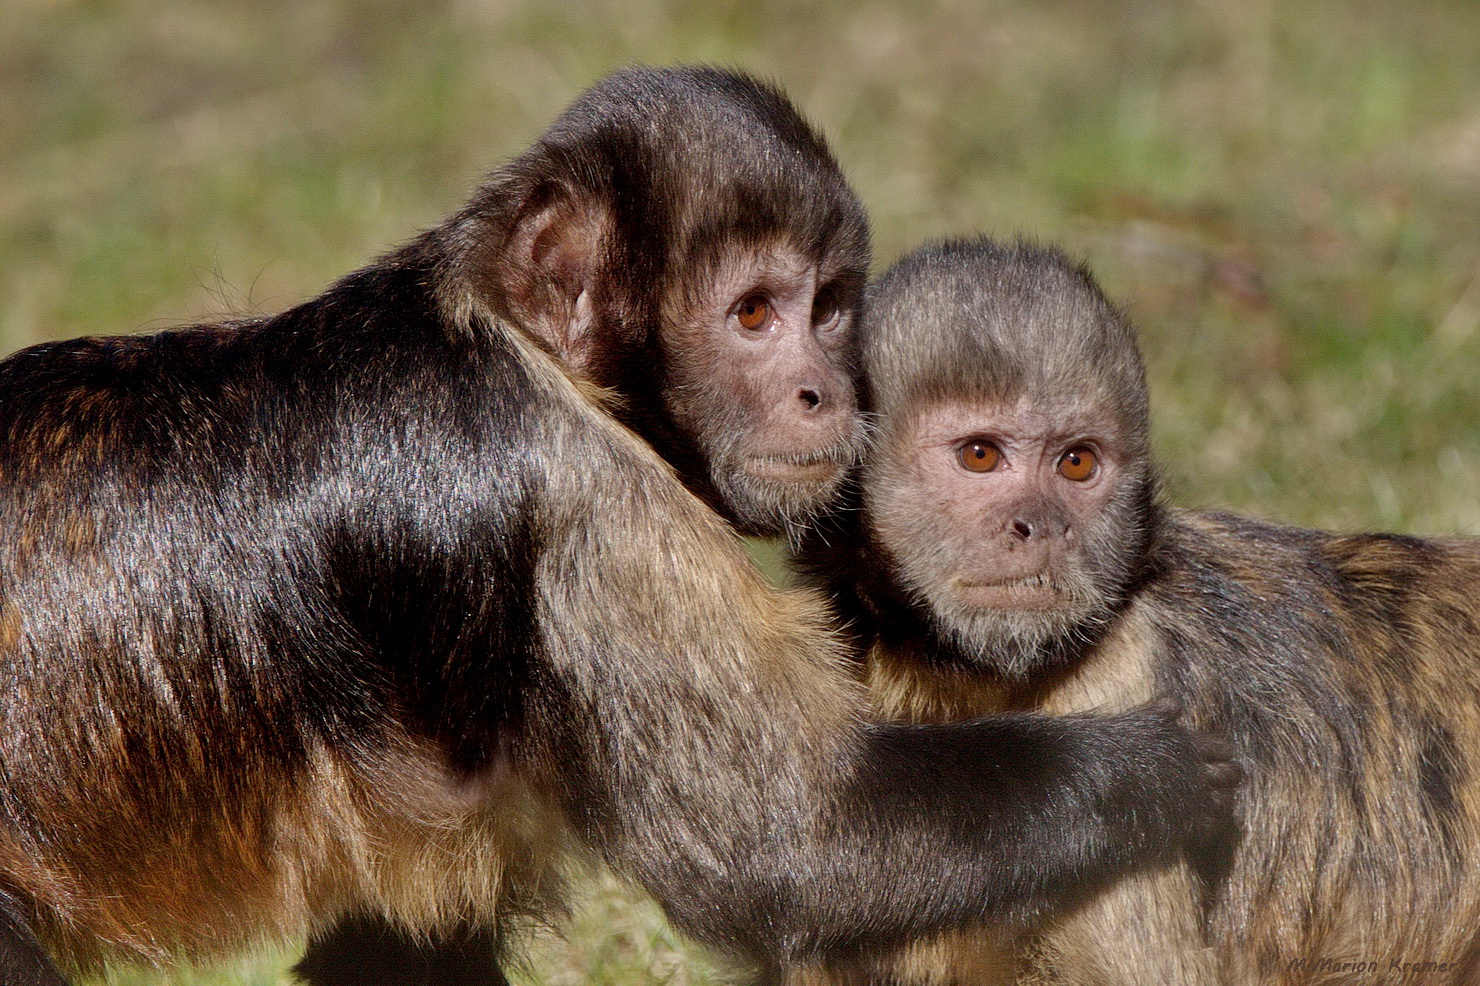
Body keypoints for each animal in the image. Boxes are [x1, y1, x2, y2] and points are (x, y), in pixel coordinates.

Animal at [0, 71, 1237, 983]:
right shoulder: (575, 496)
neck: (529, 349)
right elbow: (789, 853)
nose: (826, 392)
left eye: (830, 307)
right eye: (754, 314)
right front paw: (1153, 771)